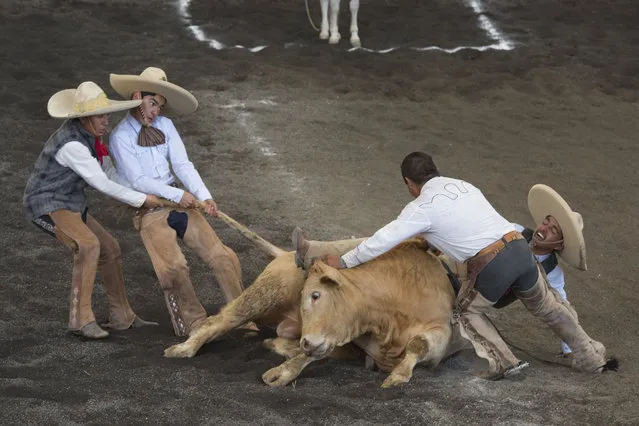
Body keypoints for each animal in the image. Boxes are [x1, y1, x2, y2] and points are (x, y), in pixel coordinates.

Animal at [162, 238, 458, 388]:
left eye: (315, 295)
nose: (305, 341)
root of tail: (284, 253)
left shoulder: (440, 334)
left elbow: (418, 344)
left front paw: (398, 374)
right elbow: (315, 353)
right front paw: (283, 372)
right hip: (266, 293)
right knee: (220, 320)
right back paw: (184, 348)